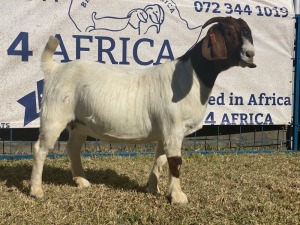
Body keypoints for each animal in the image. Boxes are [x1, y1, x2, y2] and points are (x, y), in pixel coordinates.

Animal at [30, 16, 255, 204]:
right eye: (228, 33)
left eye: (247, 32)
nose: (250, 54)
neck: (191, 75)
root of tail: (54, 69)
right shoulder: (174, 128)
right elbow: (175, 162)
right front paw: (178, 197)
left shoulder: (165, 131)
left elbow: (160, 159)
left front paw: (152, 188)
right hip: (54, 115)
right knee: (41, 148)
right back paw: (36, 190)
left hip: (79, 123)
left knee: (73, 148)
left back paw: (81, 181)